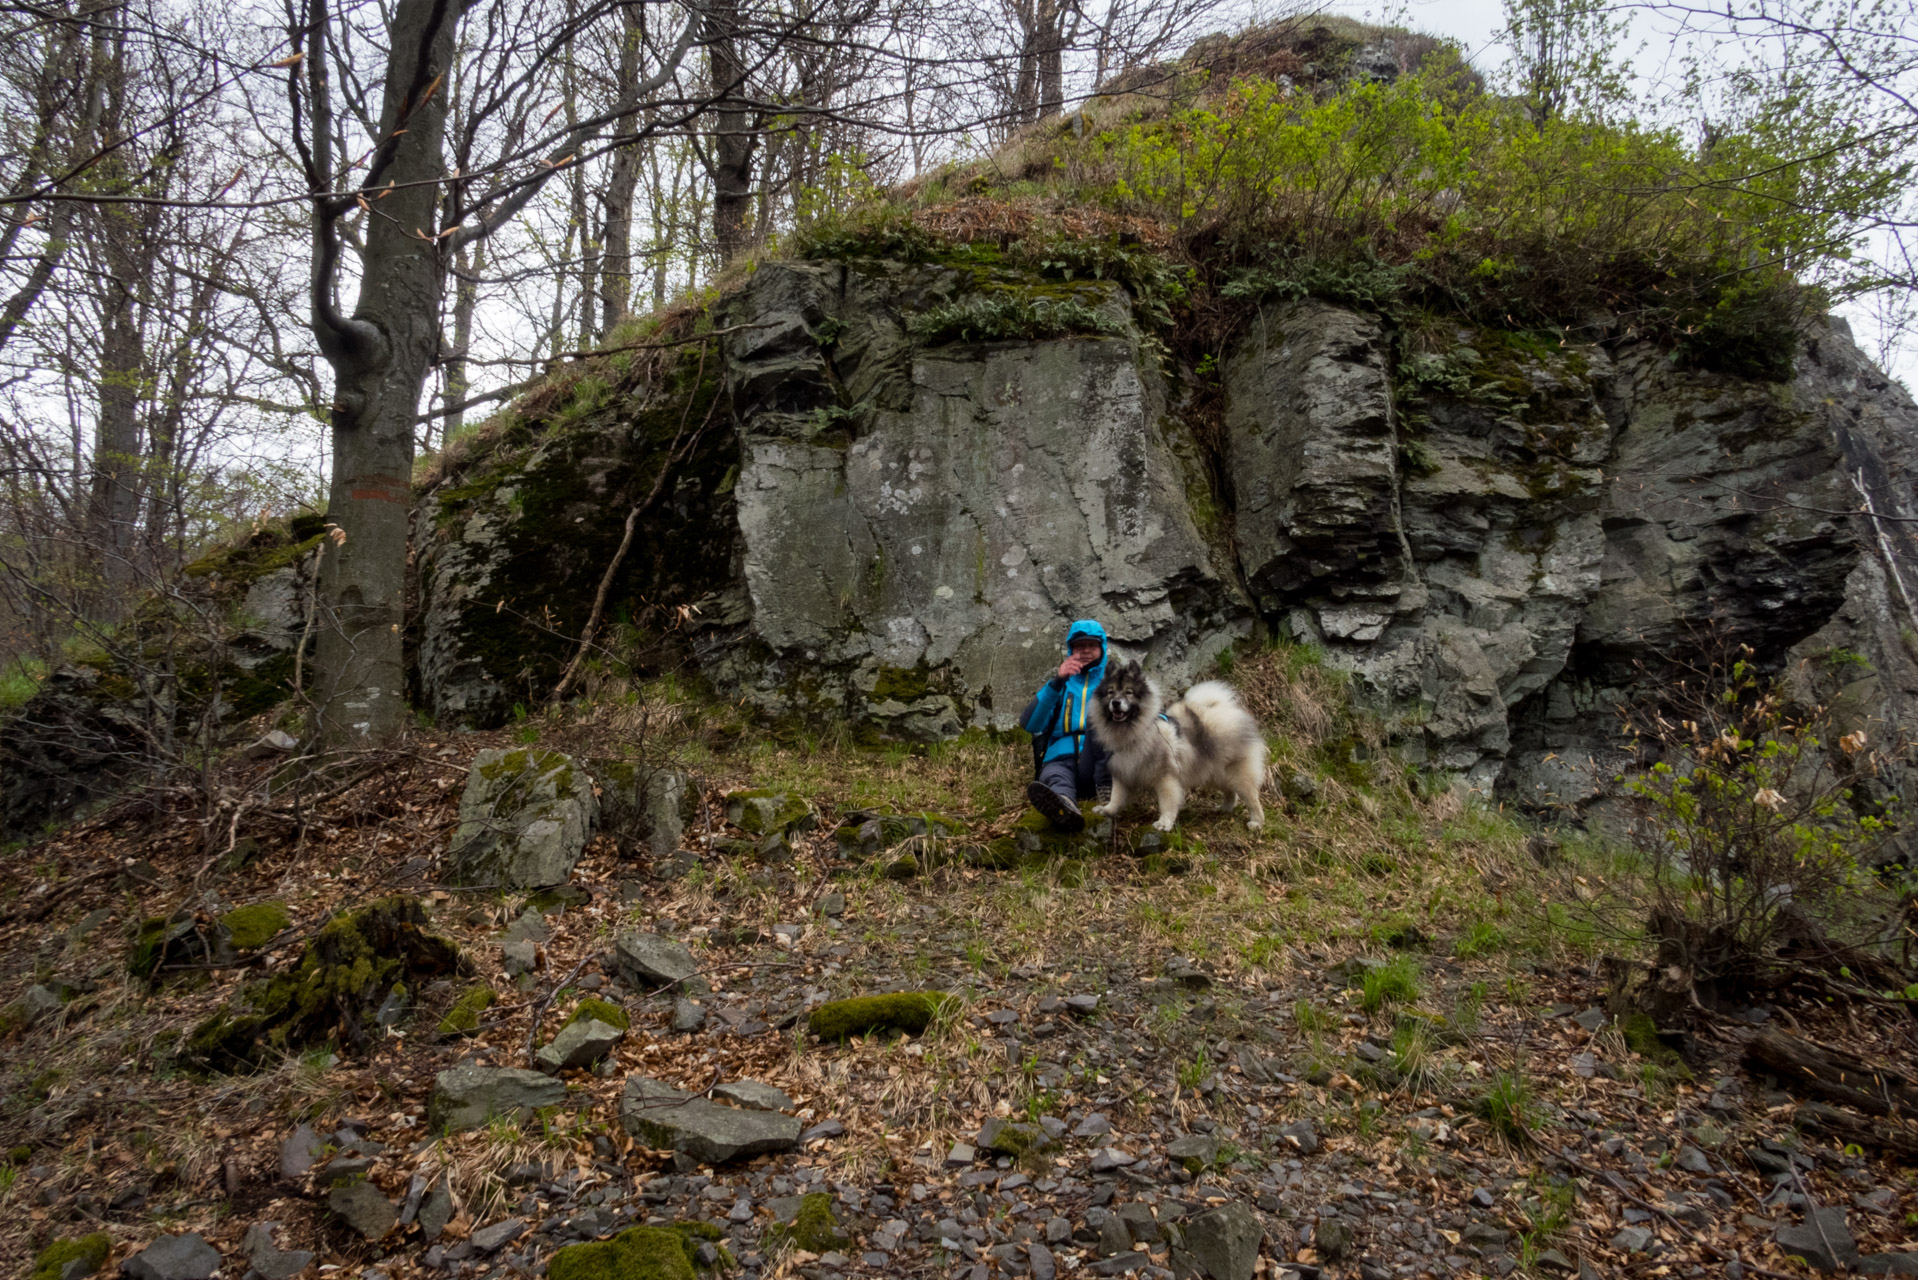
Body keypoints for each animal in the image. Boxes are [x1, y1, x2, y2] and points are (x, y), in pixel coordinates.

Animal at [1089, 660, 1265, 832]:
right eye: (1110, 692)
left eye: (1128, 692)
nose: (1116, 703)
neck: (1136, 733)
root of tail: (1224, 708)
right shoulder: (1122, 772)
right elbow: (1116, 796)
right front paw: (1107, 809)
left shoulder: (1166, 777)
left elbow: (1167, 802)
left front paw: (1164, 823)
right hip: (1215, 773)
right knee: (1230, 792)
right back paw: (1224, 809)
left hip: (1236, 773)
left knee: (1252, 797)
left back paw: (1256, 822)